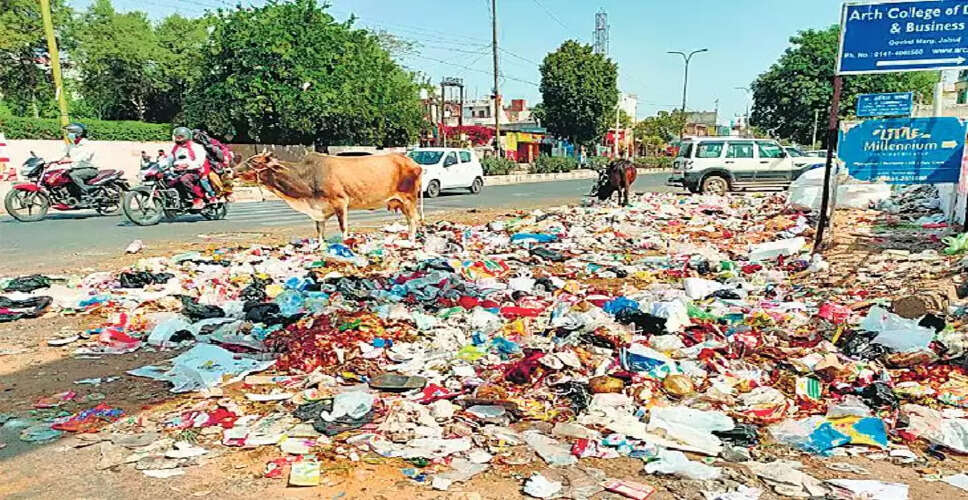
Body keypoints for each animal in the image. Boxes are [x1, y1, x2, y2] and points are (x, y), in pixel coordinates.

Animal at [235, 152, 423, 241]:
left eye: (255, 162)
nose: (230, 170)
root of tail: (413, 162)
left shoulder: (340, 203)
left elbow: (343, 228)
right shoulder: (319, 211)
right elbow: (319, 231)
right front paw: (321, 247)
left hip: (409, 199)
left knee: (413, 220)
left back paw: (411, 240)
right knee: (410, 220)